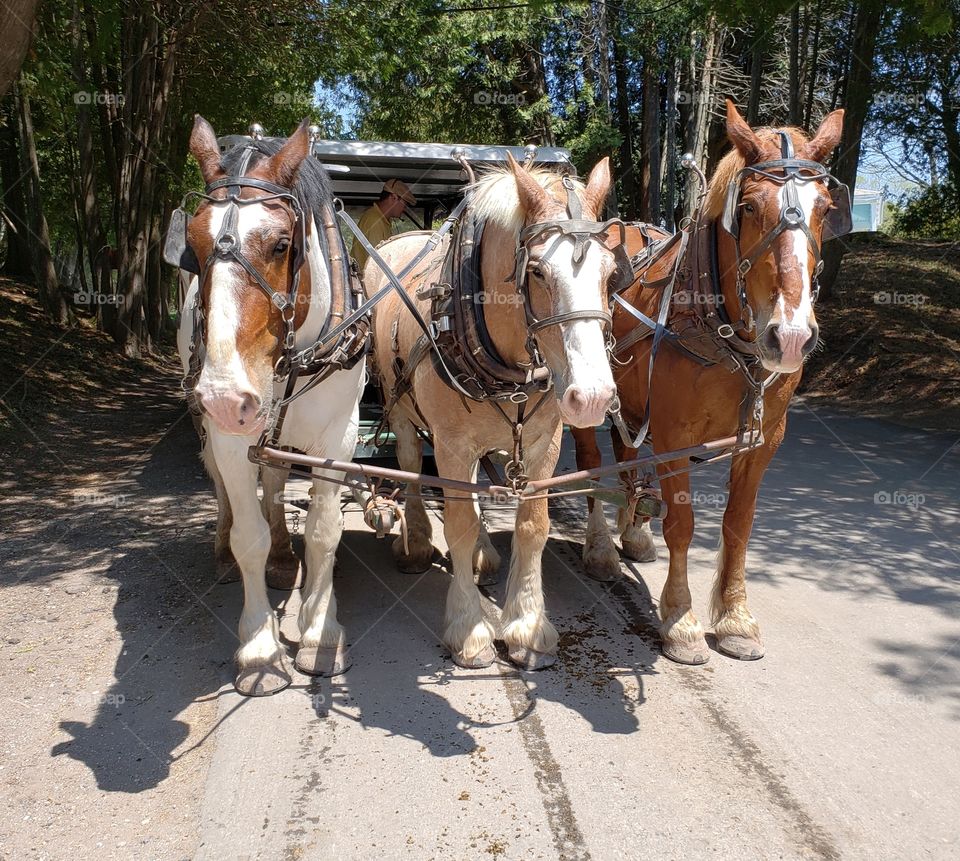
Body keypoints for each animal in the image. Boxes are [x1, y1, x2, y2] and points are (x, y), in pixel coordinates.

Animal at [173, 117, 367, 696]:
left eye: (282, 245)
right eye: (191, 249)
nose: (224, 395)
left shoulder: (339, 436)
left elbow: (325, 533)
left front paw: (319, 630)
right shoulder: (231, 432)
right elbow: (249, 535)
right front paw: (259, 648)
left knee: (279, 480)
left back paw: (286, 558)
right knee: (225, 486)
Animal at [364, 154, 619, 670]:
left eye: (611, 271)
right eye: (537, 272)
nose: (593, 397)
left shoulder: (543, 444)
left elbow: (532, 526)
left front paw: (527, 627)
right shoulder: (450, 443)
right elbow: (457, 525)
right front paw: (469, 630)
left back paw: (484, 554)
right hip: (402, 413)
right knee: (409, 465)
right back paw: (416, 541)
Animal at [572, 100, 846, 665]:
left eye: (825, 209)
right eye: (749, 207)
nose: (790, 336)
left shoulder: (765, 439)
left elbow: (738, 525)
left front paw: (737, 618)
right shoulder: (673, 435)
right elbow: (683, 525)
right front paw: (681, 620)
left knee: (627, 456)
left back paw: (633, 532)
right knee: (591, 461)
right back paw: (601, 547)